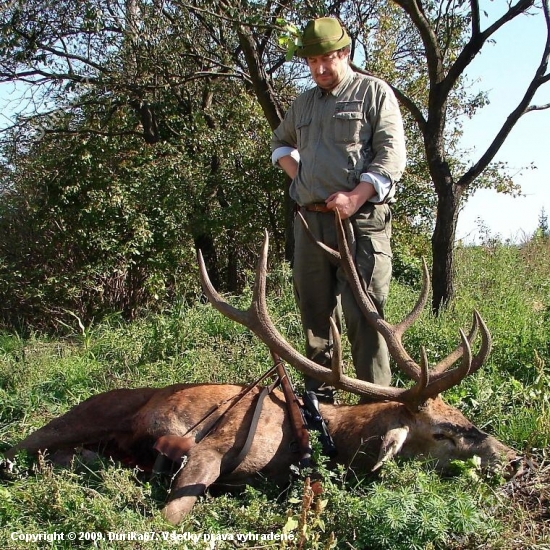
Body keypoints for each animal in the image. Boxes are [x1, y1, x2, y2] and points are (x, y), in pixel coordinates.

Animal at [3, 213, 516, 524]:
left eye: (465, 416)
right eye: (445, 432)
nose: (515, 459)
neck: (317, 431)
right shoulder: (210, 447)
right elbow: (169, 519)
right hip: (77, 419)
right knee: (21, 447)